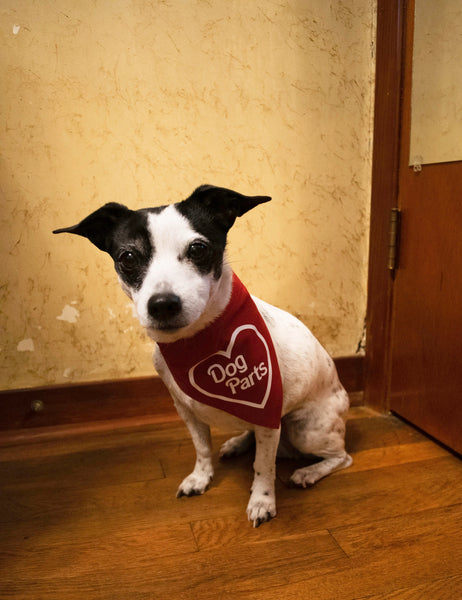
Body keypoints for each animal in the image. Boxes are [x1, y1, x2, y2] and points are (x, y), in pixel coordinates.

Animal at [53, 185, 350, 528]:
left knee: (341, 457)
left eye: (197, 248)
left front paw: (262, 501)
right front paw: (201, 478)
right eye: (127, 257)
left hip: (306, 430)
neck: (196, 342)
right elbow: (202, 449)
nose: (162, 304)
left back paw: (308, 472)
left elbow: (263, 466)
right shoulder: (188, 412)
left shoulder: (266, 415)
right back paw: (238, 443)